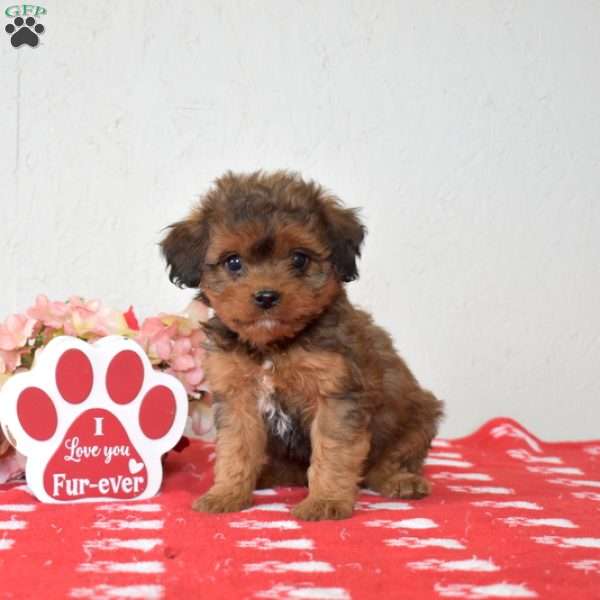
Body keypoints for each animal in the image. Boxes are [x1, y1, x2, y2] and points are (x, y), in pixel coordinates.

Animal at [162, 170, 442, 520]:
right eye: (233, 262)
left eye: (299, 258)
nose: (266, 296)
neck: (274, 347)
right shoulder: (238, 399)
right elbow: (236, 449)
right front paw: (226, 493)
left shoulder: (336, 395)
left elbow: (333, 450)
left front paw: (326, 501)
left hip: (420, 417)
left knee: (386, 463)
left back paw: (401, 480)